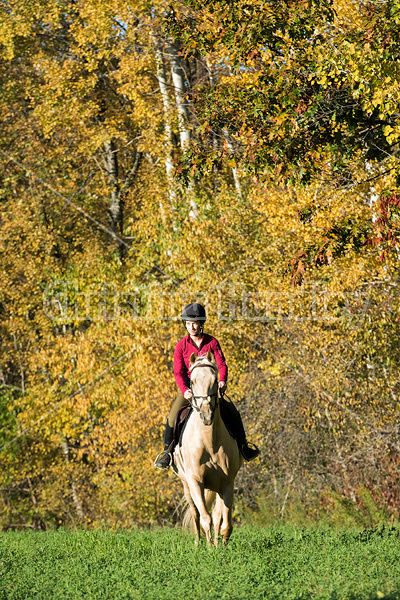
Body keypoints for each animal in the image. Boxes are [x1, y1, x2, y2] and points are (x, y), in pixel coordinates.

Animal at [173, 352, 242, 544]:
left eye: (214, 379)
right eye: (192, 381)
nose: (206, 414)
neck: (209, 441)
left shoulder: (227, 482)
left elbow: (224, 523)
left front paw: (221, 547)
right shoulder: (195, 481)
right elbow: (205, 518)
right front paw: (209, 548)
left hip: (215, 486)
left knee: (217, 515)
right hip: (186, 485)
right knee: (195, 514)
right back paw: (197, 544)